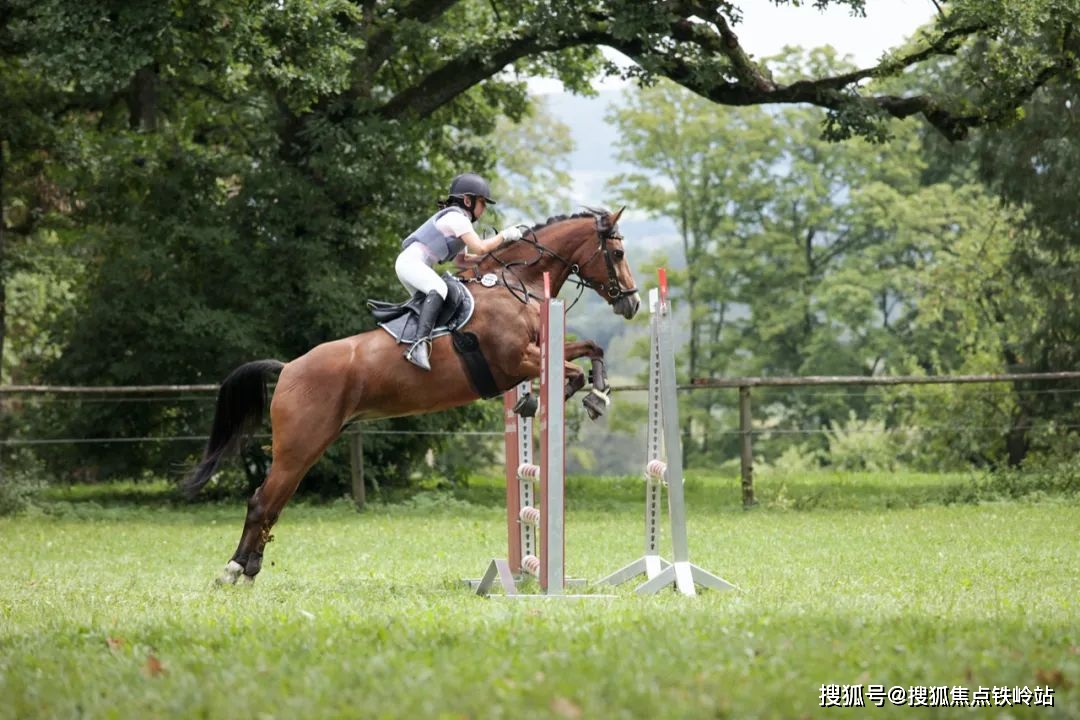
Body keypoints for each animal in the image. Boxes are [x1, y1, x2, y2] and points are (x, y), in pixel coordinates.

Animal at [183, 205, 639, 582]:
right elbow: (570, 372)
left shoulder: (539, 348)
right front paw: (552, 399)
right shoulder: (517, 360)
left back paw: (249, 569)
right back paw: (233, 570)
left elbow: (591, 350)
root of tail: (288, 368)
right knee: (262, 501)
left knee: (274, 504)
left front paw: (599, 394)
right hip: (298, 446)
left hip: (308, 447)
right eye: (617, 254)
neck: (516, 283)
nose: (632, 303)